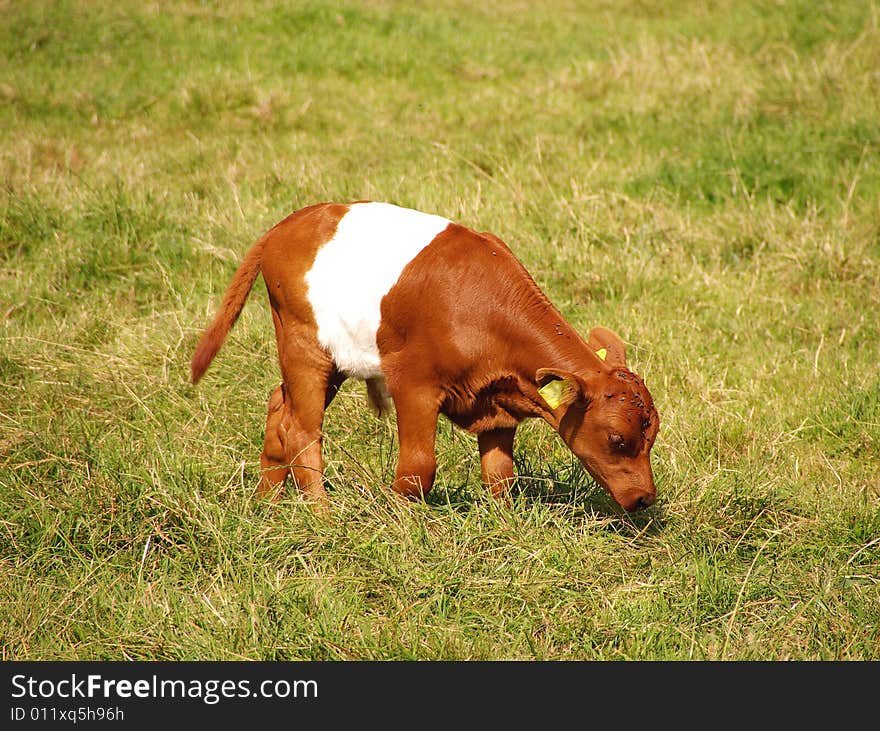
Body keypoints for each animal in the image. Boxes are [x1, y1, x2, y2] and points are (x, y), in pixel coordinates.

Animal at [192, 199, 660, 508]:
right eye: (617, 439)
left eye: (651, 437)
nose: (644, 498)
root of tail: (288, 223)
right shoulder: (413, 383)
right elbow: (418, 468)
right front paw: (394, 520)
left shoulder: (498, 403)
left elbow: (500, 475)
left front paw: (504, 524)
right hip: (303, 343)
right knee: (302, 429)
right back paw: (321, 515)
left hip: (334, 357)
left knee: (278, 406)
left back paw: (266, 503)